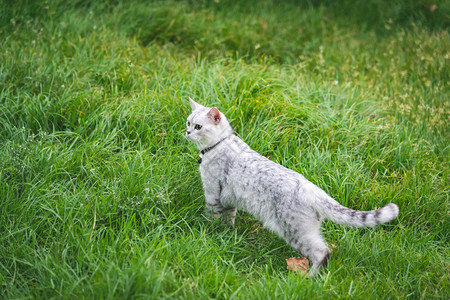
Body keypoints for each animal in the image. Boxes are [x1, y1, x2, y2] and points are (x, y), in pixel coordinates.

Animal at [185, 97, 400, 276]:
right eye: (188, 122)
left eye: (198, 126)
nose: (187, 132)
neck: (219, 144)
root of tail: (311, 188)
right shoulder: (229, 201)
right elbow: (228, 220)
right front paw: (226, 233)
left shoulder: (212, 193)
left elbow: (210, 218)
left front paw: (208, 233)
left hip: (295, 232)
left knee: (323, 252)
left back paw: (309, 278)